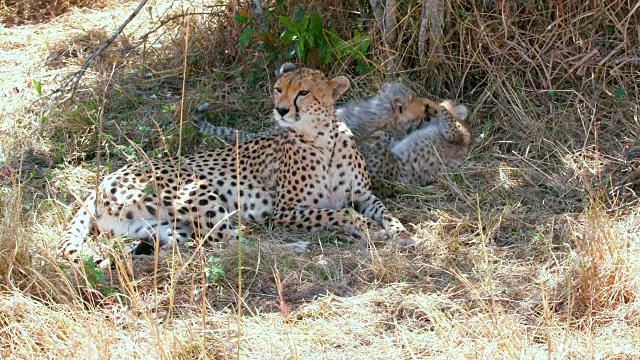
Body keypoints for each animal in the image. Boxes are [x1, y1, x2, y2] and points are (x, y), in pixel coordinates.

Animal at [60, 64, 416, 268]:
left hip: (160, 225)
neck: (322, 138)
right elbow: (339, 212)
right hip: (196, 187)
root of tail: (106, 178)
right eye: (278, 88)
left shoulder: (363, 194)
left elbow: (384, 210)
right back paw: (294, 247)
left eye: (302, 92)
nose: (280, 110)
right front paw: (369, 229)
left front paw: (400, 231)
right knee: (232, 241)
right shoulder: (285, 209)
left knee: (197, 242)